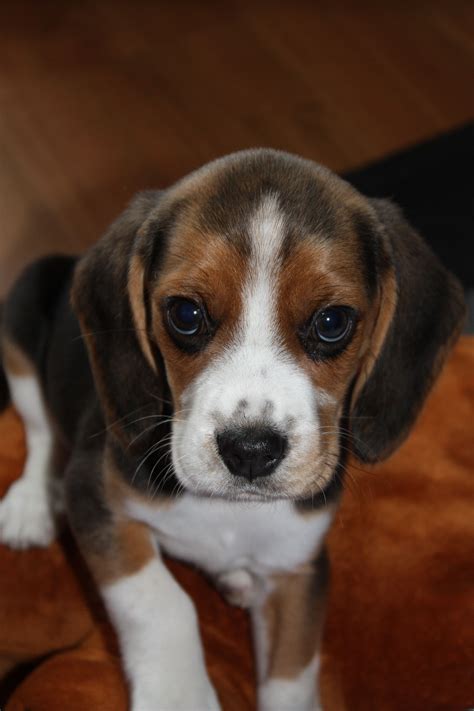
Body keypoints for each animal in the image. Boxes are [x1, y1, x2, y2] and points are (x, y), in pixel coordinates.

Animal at [0, 150, 464, 711]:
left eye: (333, 322)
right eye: (185, 313)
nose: (250, 450)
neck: (231, 510)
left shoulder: (300, 569)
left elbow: (293, 674)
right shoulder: (96, 494)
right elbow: (162, 601)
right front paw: (178, 697)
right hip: (19, 322)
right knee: (41, 430)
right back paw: (29, 505)